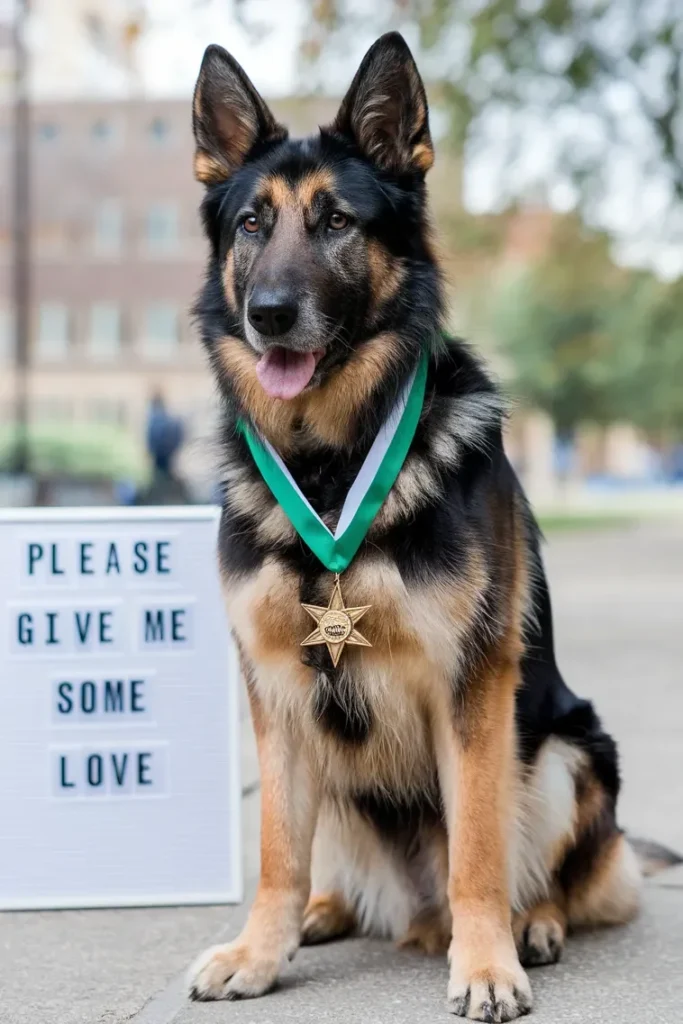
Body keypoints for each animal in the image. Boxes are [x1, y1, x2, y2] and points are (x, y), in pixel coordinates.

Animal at [187, 29, 643, 1015]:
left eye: (336, 223)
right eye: (252, 225)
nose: (268, 316)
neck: (327, 465)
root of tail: (412, 912)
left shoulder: (471, 687)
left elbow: (477, 846)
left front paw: (486, 964)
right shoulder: (276, 691)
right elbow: (276, 853)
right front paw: (259, 952)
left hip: (565, 751)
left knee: (547, 872)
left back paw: (530, 924)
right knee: (326, 866)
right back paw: (324, 913)